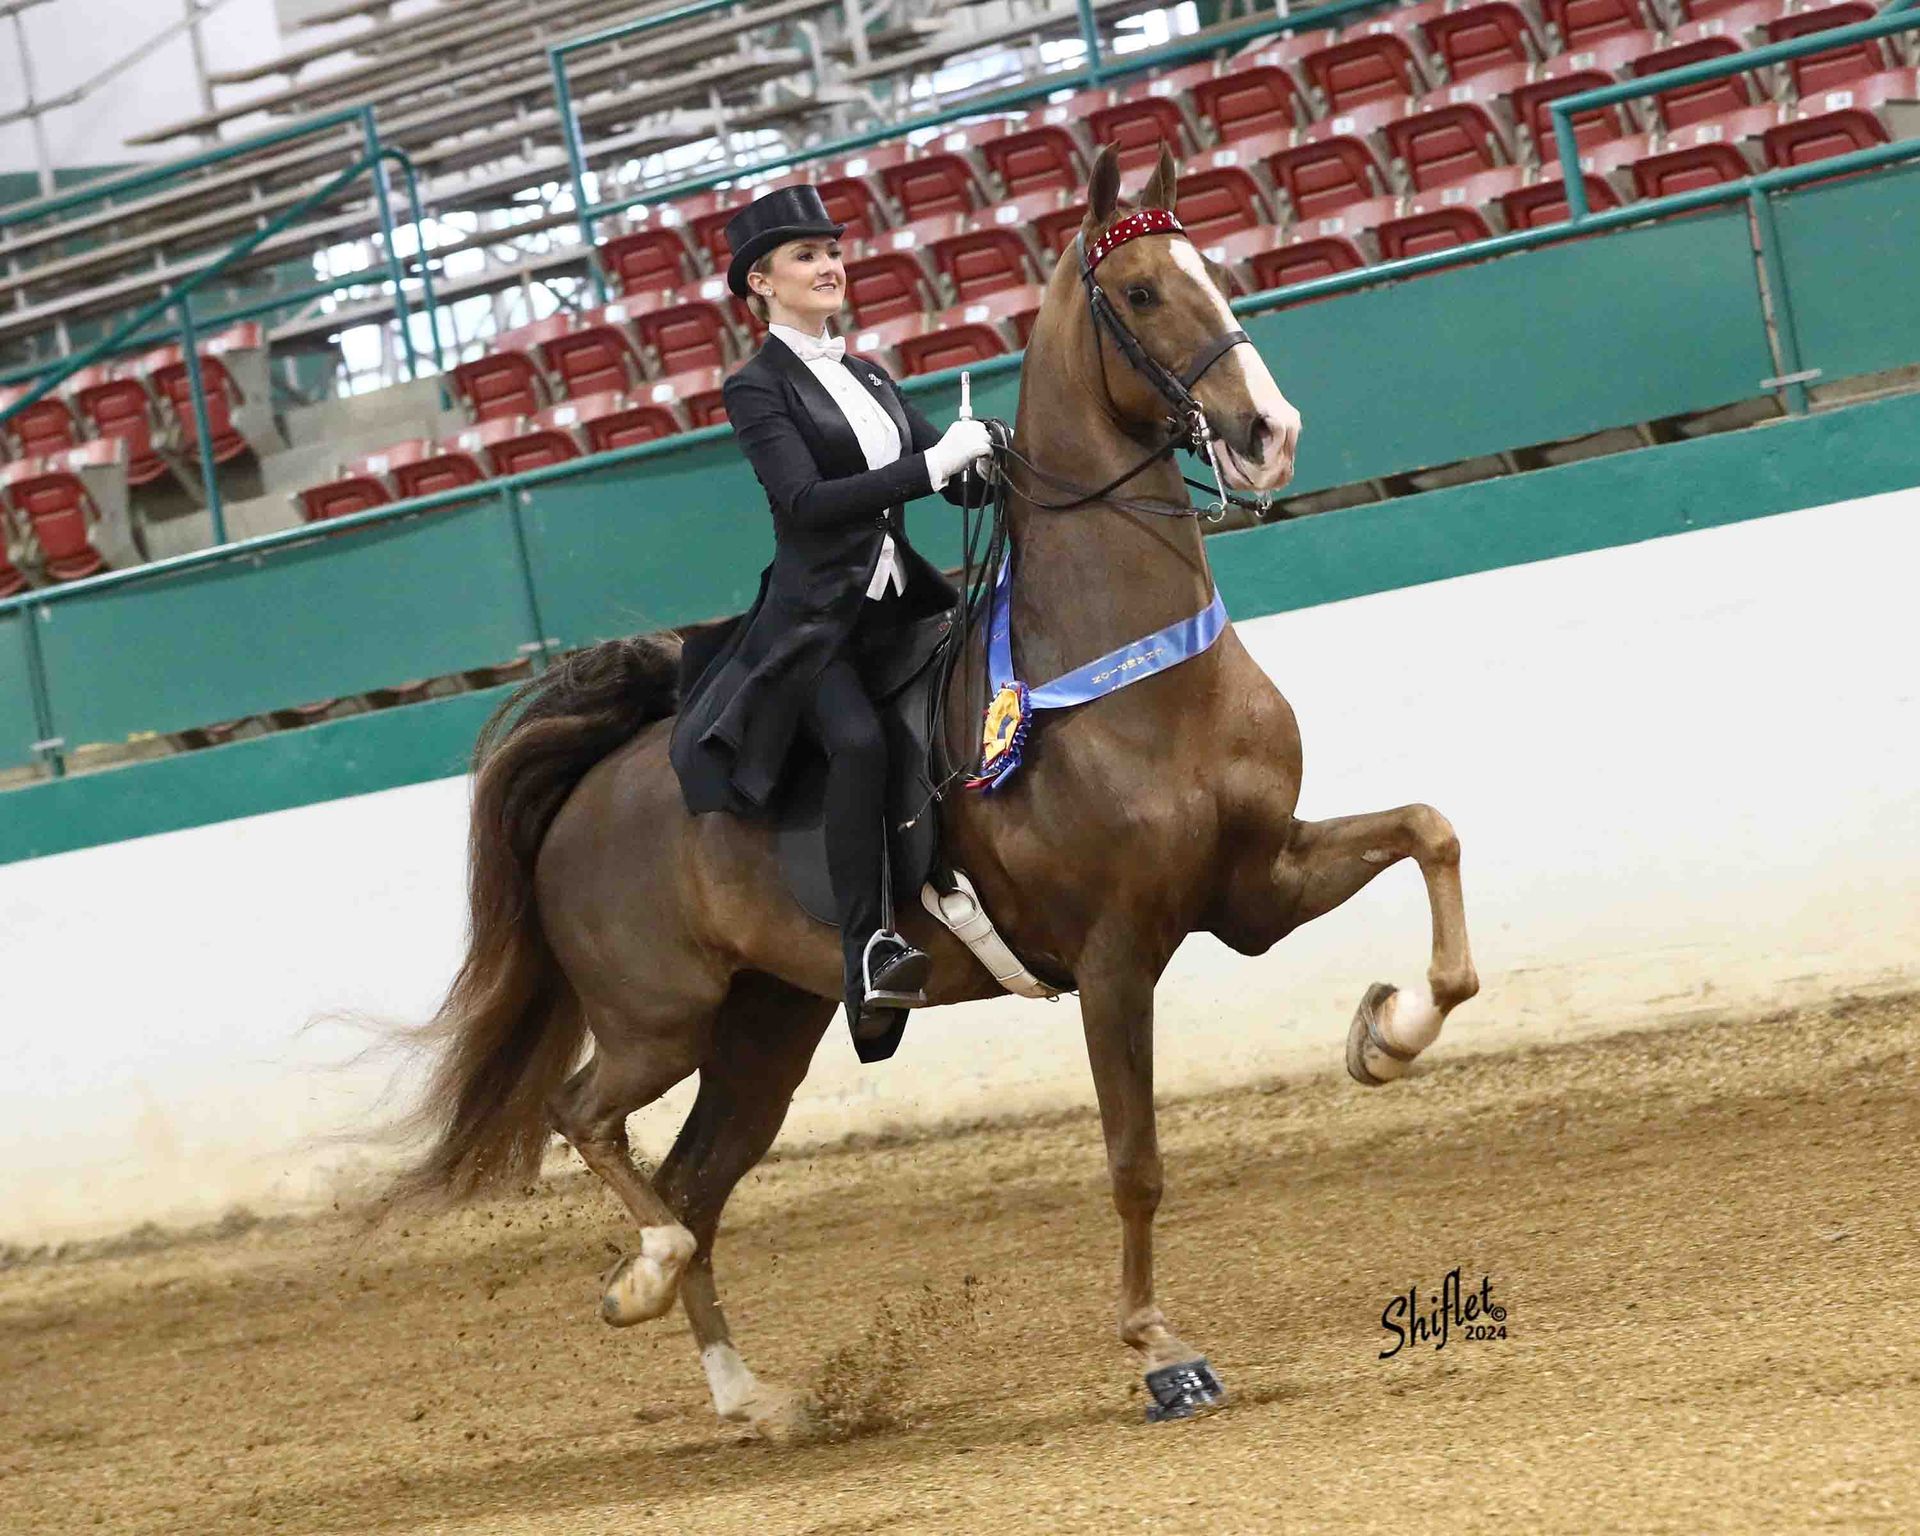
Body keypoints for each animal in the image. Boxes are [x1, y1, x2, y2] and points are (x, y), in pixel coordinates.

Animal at [391, 142, 1479, 1436]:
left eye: (1215, 270)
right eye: (1144, 292)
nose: (1271, 433)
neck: (1124, 667)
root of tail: (596, 783)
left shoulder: (1253, 886)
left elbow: (1431, 835)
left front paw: (1388, 1035)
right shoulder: (1118, 954)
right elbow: (1135, 1160)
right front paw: (1161, 1350)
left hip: (766, 1030)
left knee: (695, 1180)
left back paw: (753, 1397)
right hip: (661, 1019)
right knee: (590, 1122)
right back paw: (640, 1281)